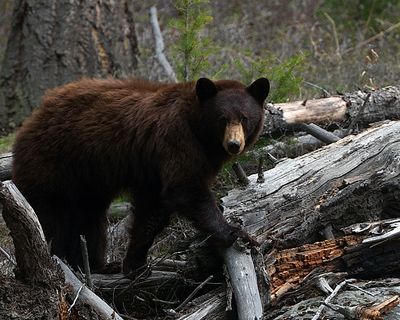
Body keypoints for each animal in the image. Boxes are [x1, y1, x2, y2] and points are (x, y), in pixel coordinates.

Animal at [11, 77, 268, 276]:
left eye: (244, 117)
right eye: (222, 118)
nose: (233, 144)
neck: (196, 128)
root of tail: (33, 117)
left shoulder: (152, 169)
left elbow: (152, 212)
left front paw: (135, 264)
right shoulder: (176, 142)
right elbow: (184, 189)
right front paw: (235, 232)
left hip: (87, 180)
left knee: (89, 217)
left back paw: (96, 265)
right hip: (53, 162)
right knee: (49, 213)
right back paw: (56, 258)